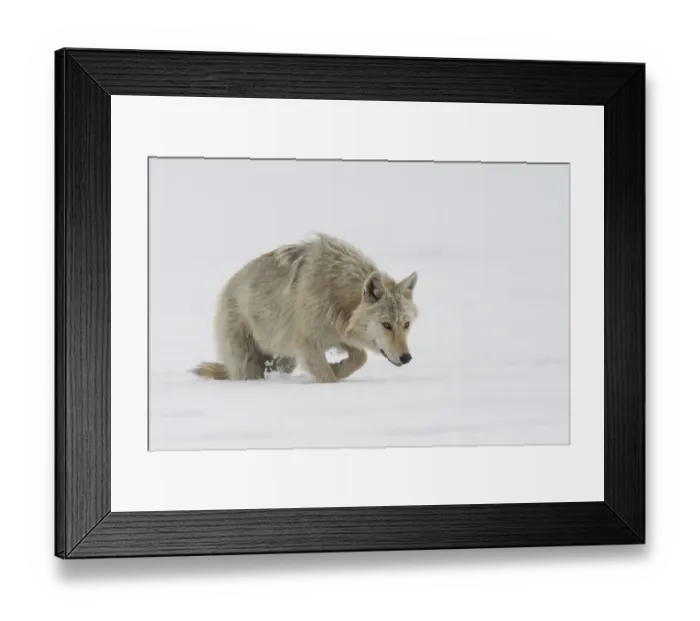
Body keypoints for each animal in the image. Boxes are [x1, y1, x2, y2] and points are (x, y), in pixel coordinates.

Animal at [192, 233, 419, 383]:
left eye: (406, 324)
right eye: (386, 325)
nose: (406, 358)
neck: (336, 290)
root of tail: (226, 287)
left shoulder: (339, 336)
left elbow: (360, 357)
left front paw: (338, 369)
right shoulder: (309, 343)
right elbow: (328, 378)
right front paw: (333, 377)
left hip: (285, 359)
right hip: (248, 361)